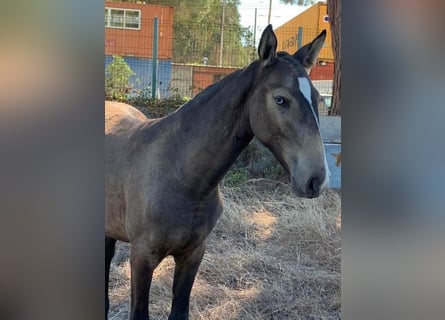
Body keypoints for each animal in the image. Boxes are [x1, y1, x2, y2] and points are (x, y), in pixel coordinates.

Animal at [106, 25, 330, 320]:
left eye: (316, 99)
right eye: (281, 99)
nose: (317, 179)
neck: (181, 174)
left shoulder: (193, 254)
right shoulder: (142, 257)